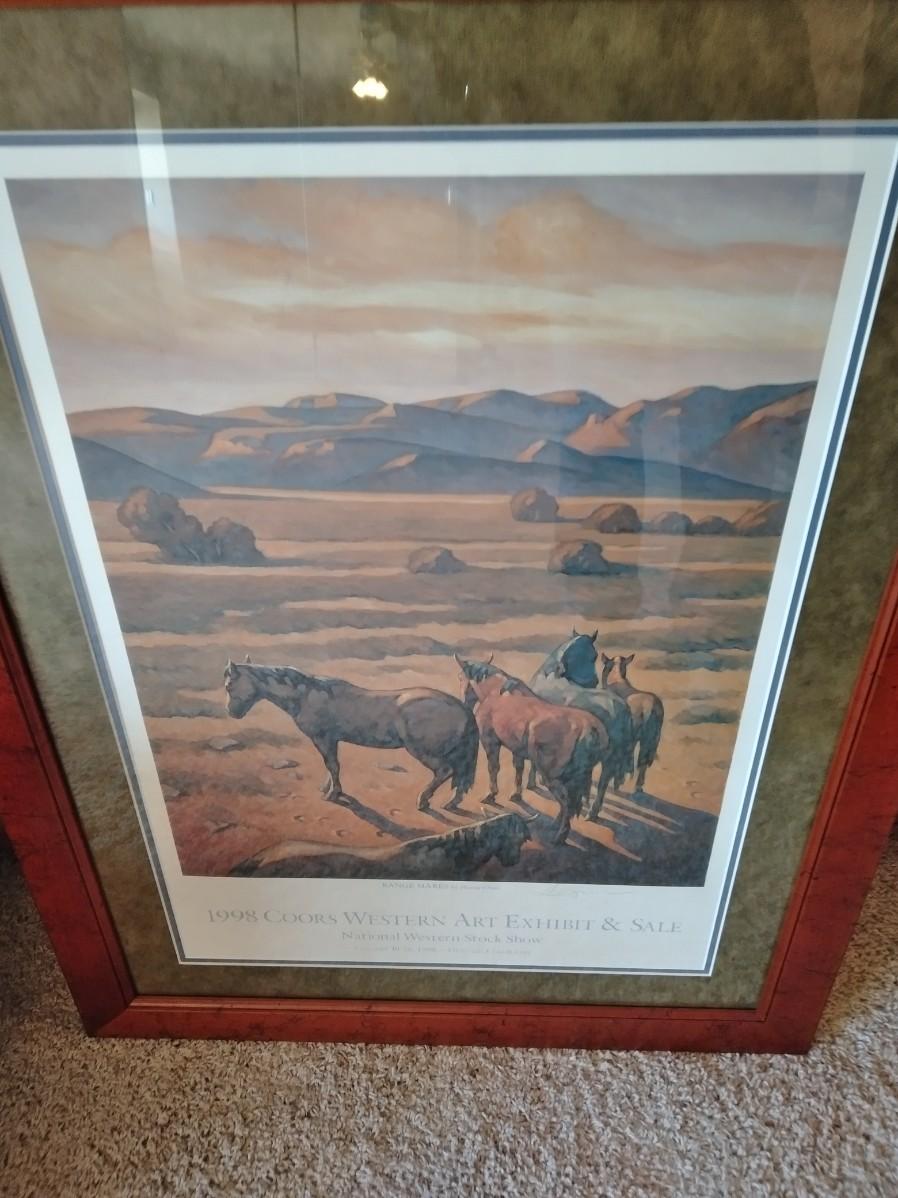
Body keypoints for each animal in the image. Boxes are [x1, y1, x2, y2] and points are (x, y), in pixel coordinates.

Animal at [224, 657, 479, 812]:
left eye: (229, 685)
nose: (231, 712)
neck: (307, 694)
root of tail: (460, 706)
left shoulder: (323, 739)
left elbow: (332, 765)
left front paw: (333, 794)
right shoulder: (332, 740)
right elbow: (332, 765)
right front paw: (328, 788)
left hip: (423, 751)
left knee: (444, 771)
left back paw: (423, 800)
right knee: (459, 776)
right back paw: (451, 803)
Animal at [456, 656, 610, 844]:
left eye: (460, 677)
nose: (464, 703)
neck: (497, 694)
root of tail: (589, 729)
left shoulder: (490, 742)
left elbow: (494, 768)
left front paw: (492, 794)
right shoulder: (517, 750)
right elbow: (519, 769)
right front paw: (516, 794)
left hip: (551, 776)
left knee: (567, 802)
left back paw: (560, 836)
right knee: (570, 803)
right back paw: (556, 824)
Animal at [528, 630, 635, 812]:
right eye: (595, 656)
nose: (594, 681)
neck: (548, 675)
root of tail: (621, 707)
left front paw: (532, 783)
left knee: (603, 781)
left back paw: (592, 811)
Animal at [602, 653, 664, 794]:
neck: (616, 679)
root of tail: (649, 707)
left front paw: (618, 781)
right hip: (652, 739)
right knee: (644, 760)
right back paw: (638, 786)